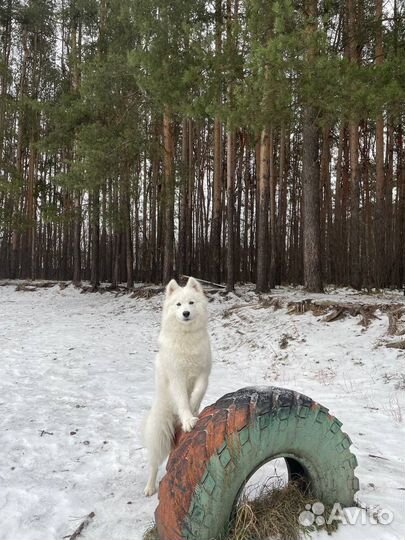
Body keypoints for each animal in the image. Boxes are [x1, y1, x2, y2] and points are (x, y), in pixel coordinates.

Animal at [142, 276, 211, 496]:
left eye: (191, 303)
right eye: (178, 305)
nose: (186, 313)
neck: (186, 337)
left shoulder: (203, 373)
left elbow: (197, 393)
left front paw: (193, 409)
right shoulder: (177, 378)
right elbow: (182, 400)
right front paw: (188, 419)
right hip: (159, 434)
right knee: (153, 464)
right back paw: (149, 487)